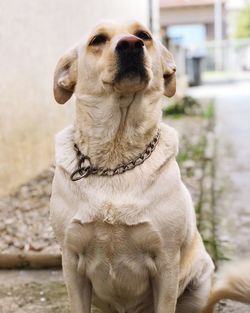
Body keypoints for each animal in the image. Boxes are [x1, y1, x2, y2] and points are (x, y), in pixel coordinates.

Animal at [50, 20, 250, 310]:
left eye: (144, 35)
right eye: (97, 40)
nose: (131, 44)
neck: (115, 158)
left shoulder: (166, 262)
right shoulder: (72, 263)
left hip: (200, 283)